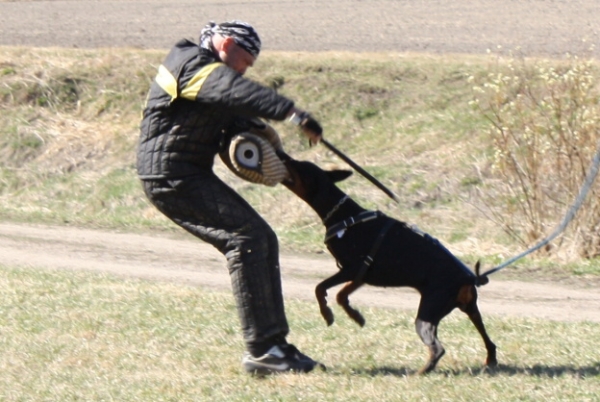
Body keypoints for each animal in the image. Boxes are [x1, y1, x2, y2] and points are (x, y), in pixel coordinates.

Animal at [282, 158, 496, 374]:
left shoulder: (353, 269)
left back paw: (421, 372)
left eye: (299, 165)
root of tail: (469, 277)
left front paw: (329, 314)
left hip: (428, 313)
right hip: (470, 308)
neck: (342, 215)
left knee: (437, 348)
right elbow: (341, 295)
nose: (283, 155)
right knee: (489, 340)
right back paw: (490, 361)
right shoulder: (361, 274)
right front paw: (356, 316)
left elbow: (321, 288)